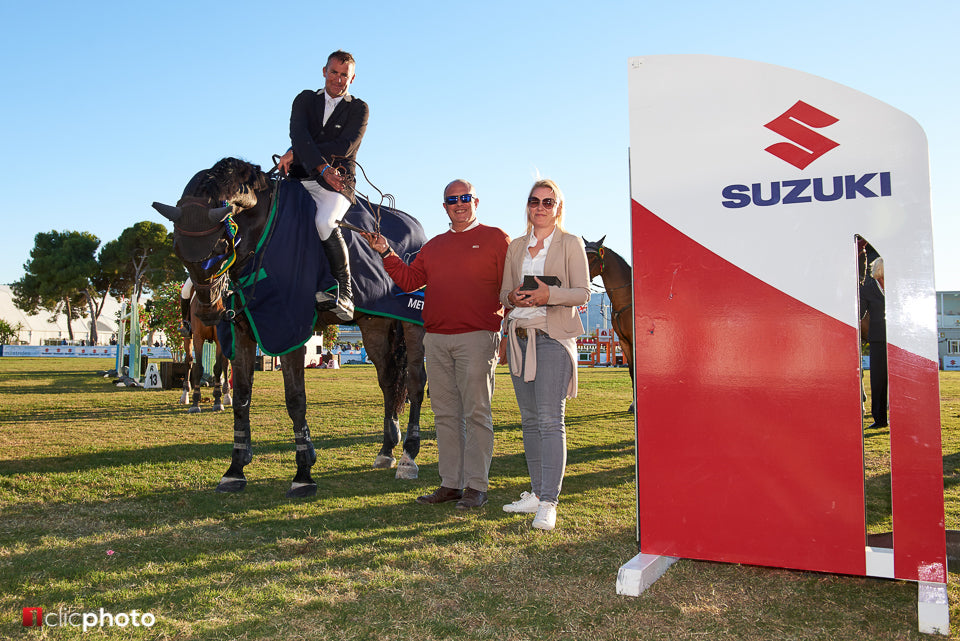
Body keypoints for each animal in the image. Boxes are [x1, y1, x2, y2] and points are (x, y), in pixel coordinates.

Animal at [154, 158, 424, 498]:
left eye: (221, 245)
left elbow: (295, 399)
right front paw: (235, 469)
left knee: (415, 382)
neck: (262, 233)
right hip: (374, 327)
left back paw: (409, 456)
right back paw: (387, 449)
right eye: (178, 249)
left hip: (413, 325)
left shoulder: (289, 331)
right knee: (388, 381)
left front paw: (303, 474)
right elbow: (241, 397)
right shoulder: (242, 331)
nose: (208, 311)